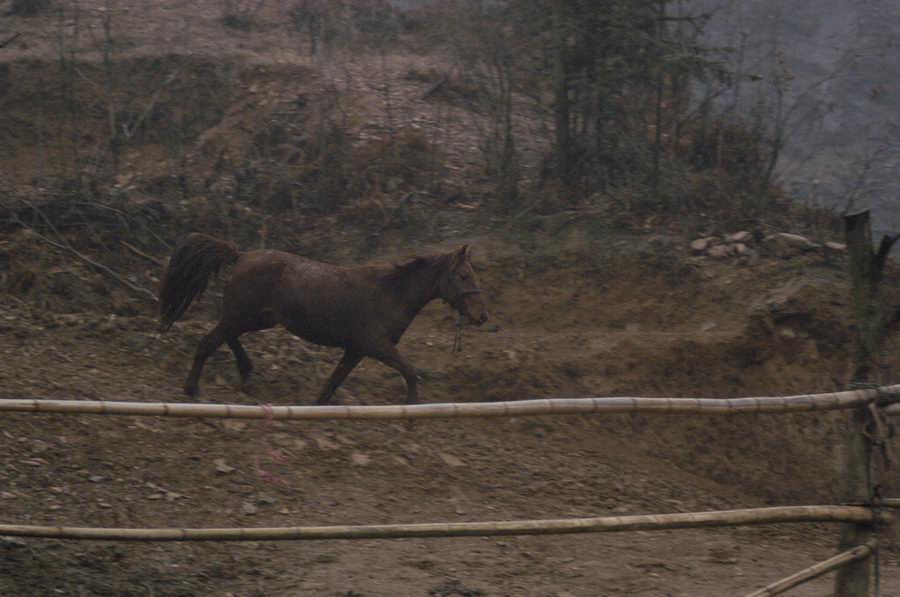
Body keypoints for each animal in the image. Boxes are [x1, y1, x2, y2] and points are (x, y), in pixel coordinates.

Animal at [158, 235, 488, 402]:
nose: (482, 315)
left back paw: (245, 370)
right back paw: (192, 390)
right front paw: (410, 410)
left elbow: (333, 383)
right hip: (241, 315)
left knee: (227, 337)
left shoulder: (356, 350)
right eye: (463, 275)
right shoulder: (377, 347)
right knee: (208, 341)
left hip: (257, 318)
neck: (391, 293)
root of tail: (241, 255)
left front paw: (317, 406)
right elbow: (410, 371)